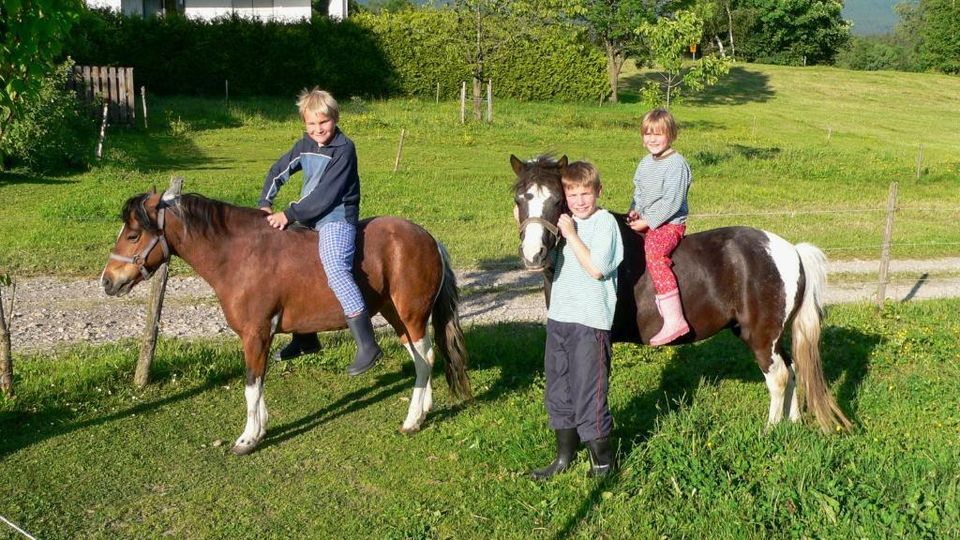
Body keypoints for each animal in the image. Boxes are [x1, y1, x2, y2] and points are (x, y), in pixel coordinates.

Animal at [101, 190, 472, 456]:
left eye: (133, 235)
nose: (107, 281)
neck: (238, 255)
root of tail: (428, 238)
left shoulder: (255, 334)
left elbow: (250, 386)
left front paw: (248, 439)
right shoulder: (259, 337)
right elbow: (258, 382)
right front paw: (261, 428)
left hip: (411, 315)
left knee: (425, 360)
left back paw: (412, 420)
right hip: (397, 316)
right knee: (423, 358)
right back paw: (423, 409)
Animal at [512, 156, 852, 434]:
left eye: (558, 200)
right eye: (518, 198)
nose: (534, 254)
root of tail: (791, 250)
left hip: (760, 337)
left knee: (779, 377)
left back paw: (771, 429)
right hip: (772, 336)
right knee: (793, 370)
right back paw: (793, 422)